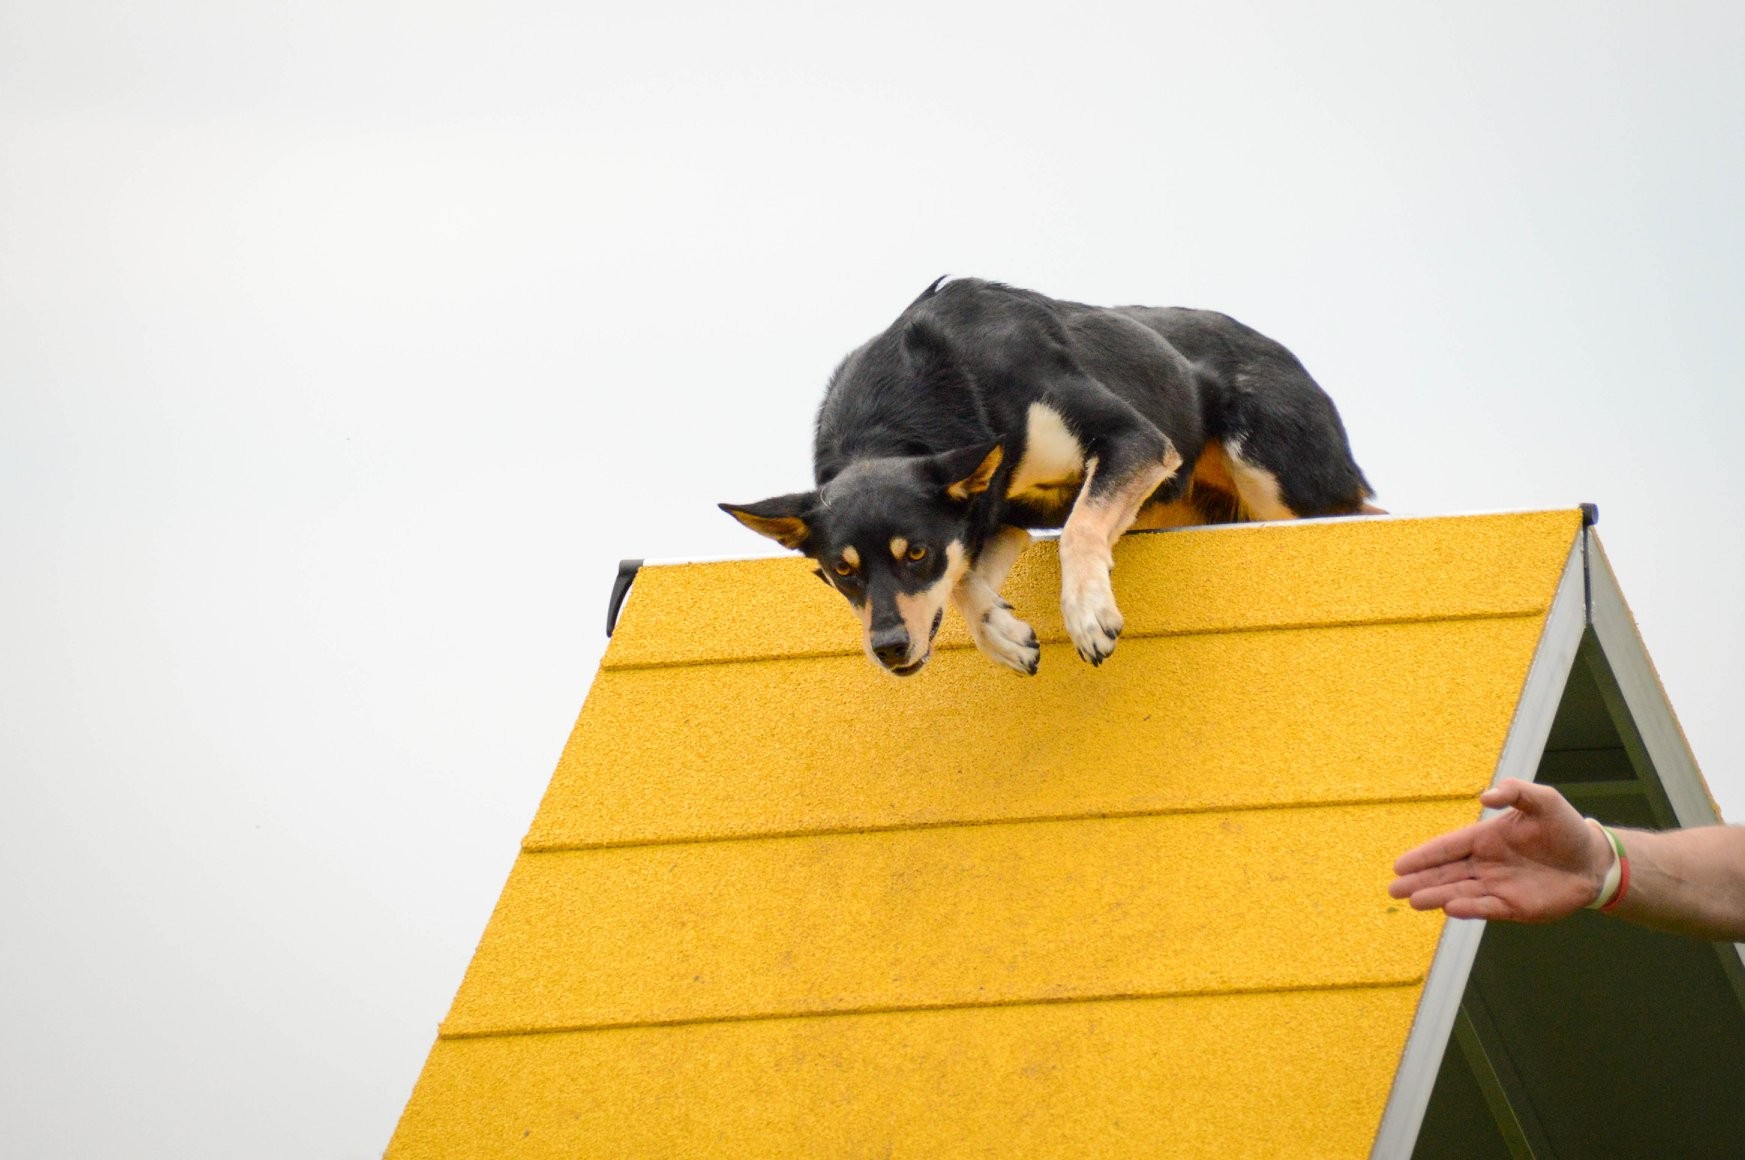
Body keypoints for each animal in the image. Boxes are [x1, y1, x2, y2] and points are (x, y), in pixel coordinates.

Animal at [722, 277, 1375, 673]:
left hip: (1276, 476)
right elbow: (963, 581)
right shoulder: (990, 512)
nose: (888, 648)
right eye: (842, 572)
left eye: (916, 554)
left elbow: (1080, 528)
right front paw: (1003, 634)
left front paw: (1086, 615)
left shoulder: (1134, 440)